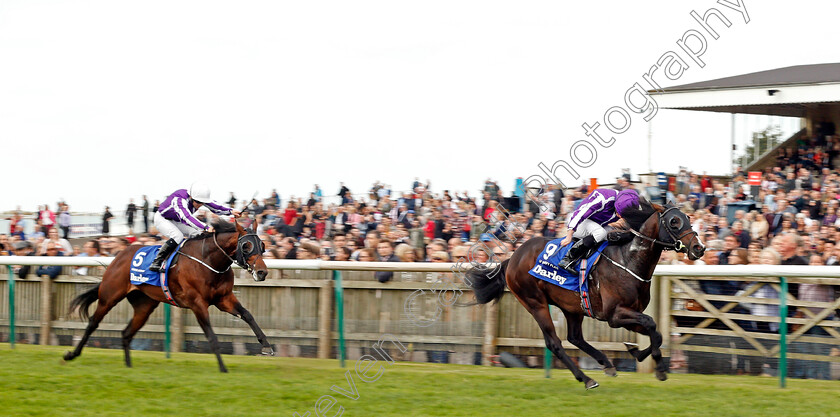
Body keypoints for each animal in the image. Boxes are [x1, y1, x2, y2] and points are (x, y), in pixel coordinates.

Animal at [65, 218, 270, 370]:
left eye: (262, 245)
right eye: (246, 246)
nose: (262, 272)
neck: (209, 260)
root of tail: (119, 255)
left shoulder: (224, 299)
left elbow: (248, 315)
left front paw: (266, 346)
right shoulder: (197, 303)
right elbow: (211, 336)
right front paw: (223, 368)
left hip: (144, 305)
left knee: (126, 333)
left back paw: (129, 367)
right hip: (110, 296)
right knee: (93, 322)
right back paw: (72, 354)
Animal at [466, 200, 704, 388]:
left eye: (688, 218)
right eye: (674, 221)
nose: (699, 248)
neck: (628, 260)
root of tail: (513, 257)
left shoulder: (628, 314)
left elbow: (657, 332)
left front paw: (636, 352)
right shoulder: (614, 315)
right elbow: (652, 324)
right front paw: (659, 367)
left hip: (572, 306)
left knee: (575, 337)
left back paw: (606, 364)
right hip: (535, 303)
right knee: (554, 342)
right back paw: (587, 379)